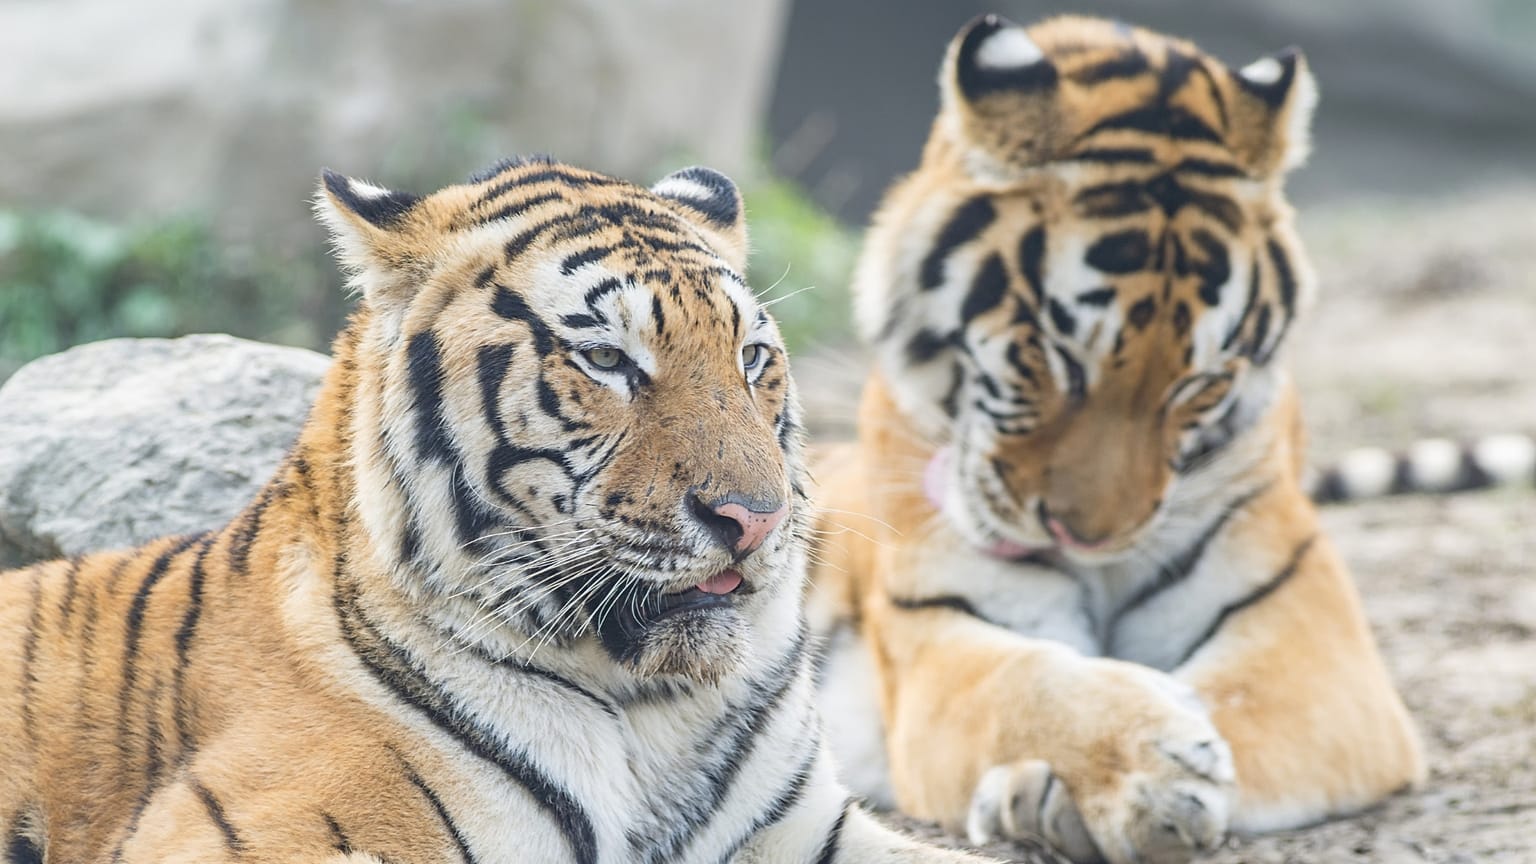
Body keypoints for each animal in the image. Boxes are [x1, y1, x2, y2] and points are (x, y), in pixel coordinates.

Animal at [807, 15, 1428, 864]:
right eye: (1056, 357)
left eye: (1199, 384)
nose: (1089, 537)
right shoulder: (932, 632)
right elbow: (1028, 683)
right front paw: (1140, 768)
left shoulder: (1315, 640)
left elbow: (1235, 702)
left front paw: (1103, 790)